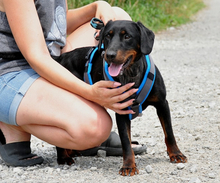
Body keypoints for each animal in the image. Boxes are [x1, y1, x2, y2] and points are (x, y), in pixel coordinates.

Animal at [54, 20, 186, 176]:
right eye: (107, 36)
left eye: (127, 36)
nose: (109, 55)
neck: (131, 74)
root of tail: (61, 58)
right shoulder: (121, 111)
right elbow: (126, 142)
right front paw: (128, 166)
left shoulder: (162, 104)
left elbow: (169, 133)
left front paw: (176, 154)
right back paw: (63, 157)